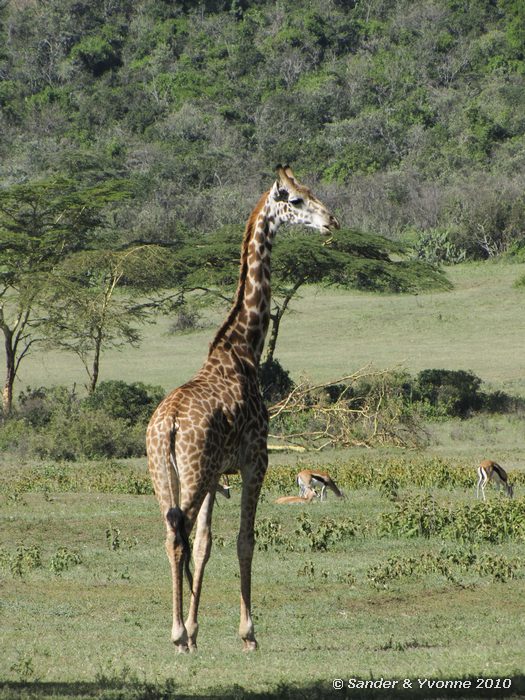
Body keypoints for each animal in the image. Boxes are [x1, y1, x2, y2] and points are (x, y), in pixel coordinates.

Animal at [145, 167, 338, 652]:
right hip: (193, 472)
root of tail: (168, 425)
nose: (331, 222)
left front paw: (198, 629)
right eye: (295, 200)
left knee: (171, 533)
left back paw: (181, 633)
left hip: (164, 473)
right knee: (177, 533)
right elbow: (244, 541)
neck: (243, 346)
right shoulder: (256, 459)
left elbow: (205, 543)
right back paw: (176, 635)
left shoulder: (218, 474)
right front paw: (247, 633)